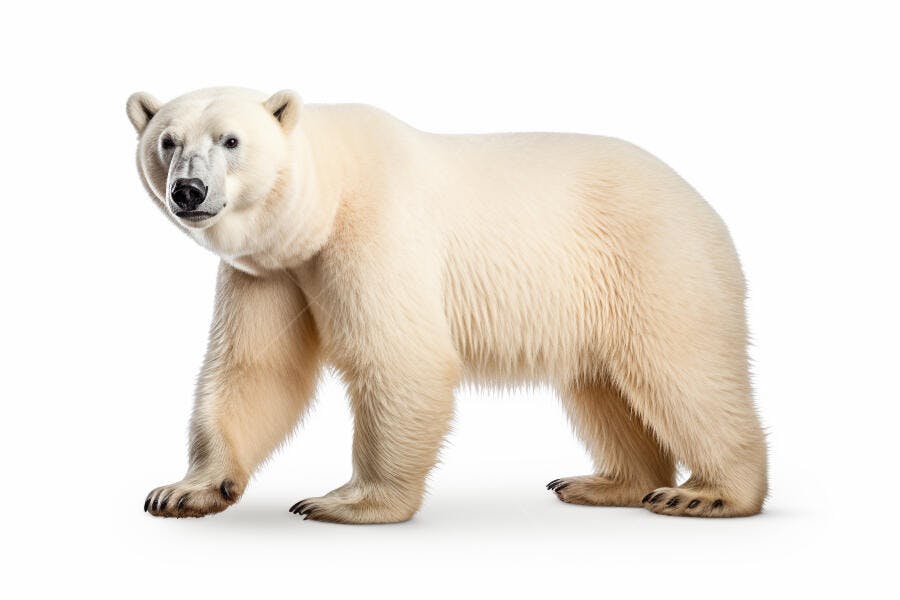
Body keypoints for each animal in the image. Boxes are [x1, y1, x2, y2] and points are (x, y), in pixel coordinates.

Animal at [127, 87, 767, 523]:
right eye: (167, 141)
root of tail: (702, 203)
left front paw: (344, 501)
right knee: (602, 387)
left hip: (654, 263)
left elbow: (401, 359)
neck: (325, 198)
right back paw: (606, 483)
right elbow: (256, 369)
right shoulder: (272, 270)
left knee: (684, 372)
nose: (189, 191)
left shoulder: (375, 232)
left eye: (230, 141)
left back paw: (707, 493)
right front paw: (185, 489)